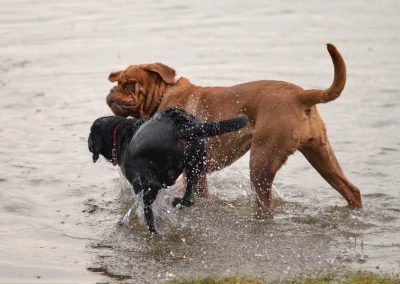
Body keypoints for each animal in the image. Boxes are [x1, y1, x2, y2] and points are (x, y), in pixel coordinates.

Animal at [89, 107, 248, 234]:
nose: (89, 144)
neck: (120, 135)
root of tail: (180, 128)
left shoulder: (138, 182)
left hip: (150, 178)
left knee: (148, 205)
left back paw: (152, 230)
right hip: (195, 163)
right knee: (189, 198)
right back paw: (178, 203)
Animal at [105, 43, 362, 213]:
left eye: (129, 84)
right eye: (118, 83)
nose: (111, 91)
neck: (164, 95)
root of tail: (301, 95)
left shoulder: (194, 173)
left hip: (261, 163)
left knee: (267, 203)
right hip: (321, 156)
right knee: (352, 191)